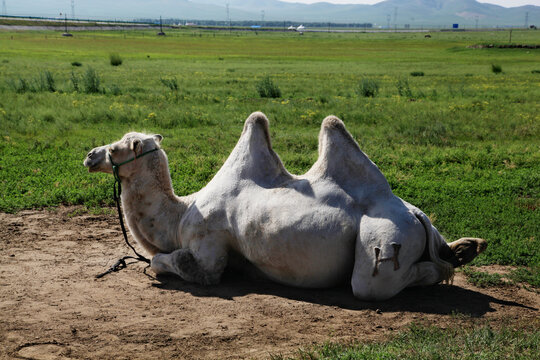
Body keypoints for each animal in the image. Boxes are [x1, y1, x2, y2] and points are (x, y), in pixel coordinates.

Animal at [83, 113, 486, 300]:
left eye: (118, 147)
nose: (89, 155)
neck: (181, 213)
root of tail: (414, 214)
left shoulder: (207, 246)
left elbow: (166, 262)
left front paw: (155, 266)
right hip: (414, 225)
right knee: (438, 248)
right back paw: (466, 248)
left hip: (383, 243)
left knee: (382, 281)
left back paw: (449, 265)